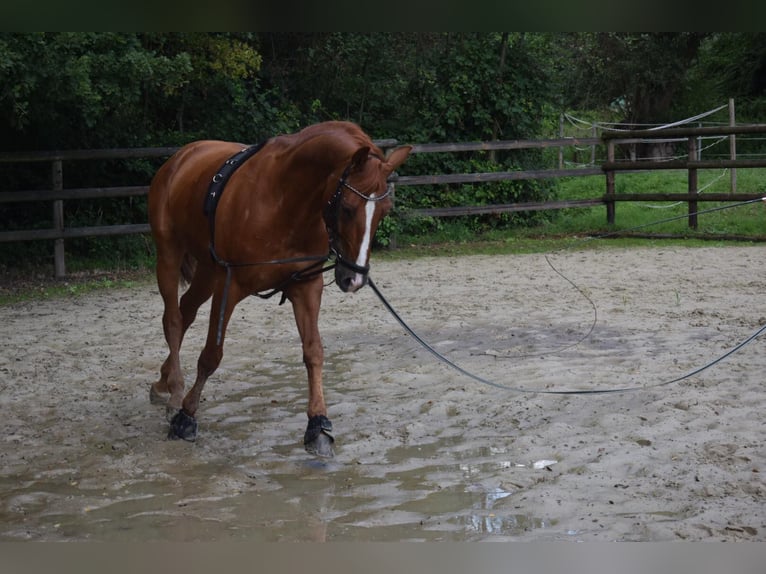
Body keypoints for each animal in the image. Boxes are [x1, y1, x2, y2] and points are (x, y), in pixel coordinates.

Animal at [149, 122, 414, 460]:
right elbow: (211, 355)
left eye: (385, 210)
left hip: (207, 272)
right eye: (348, 208)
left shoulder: (306, 286)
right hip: (170, 255)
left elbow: (314, 352)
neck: (285, 201)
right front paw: (186, 417)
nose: (354, 278)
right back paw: (174, 392)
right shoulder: (230, 285)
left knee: (185, 312)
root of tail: (181, 157)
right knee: (172, 319)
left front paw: (318, 425)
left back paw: (164, 381)